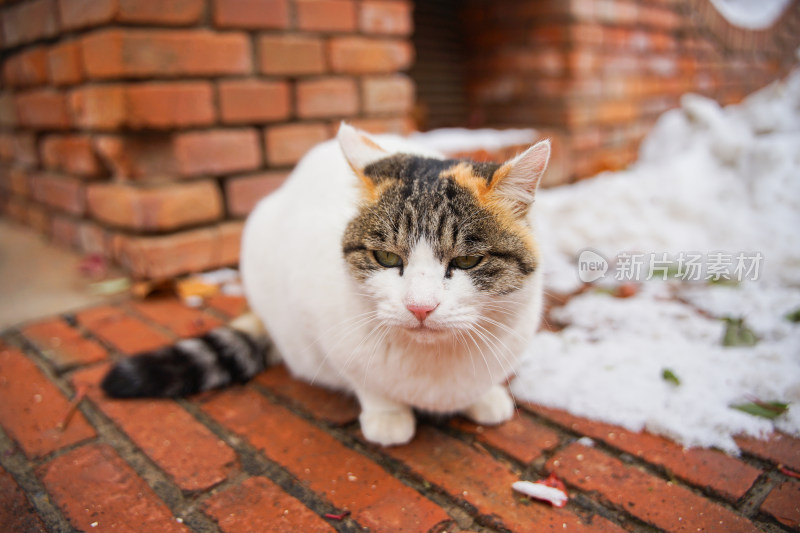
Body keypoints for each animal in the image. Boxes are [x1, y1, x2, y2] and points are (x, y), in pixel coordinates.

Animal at [104, 124, 552, 444]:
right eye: (387, 258)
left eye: (467, 261)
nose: (420, 307)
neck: (433, 367)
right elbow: (365, 381)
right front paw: (387, 415)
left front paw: (485, 396)